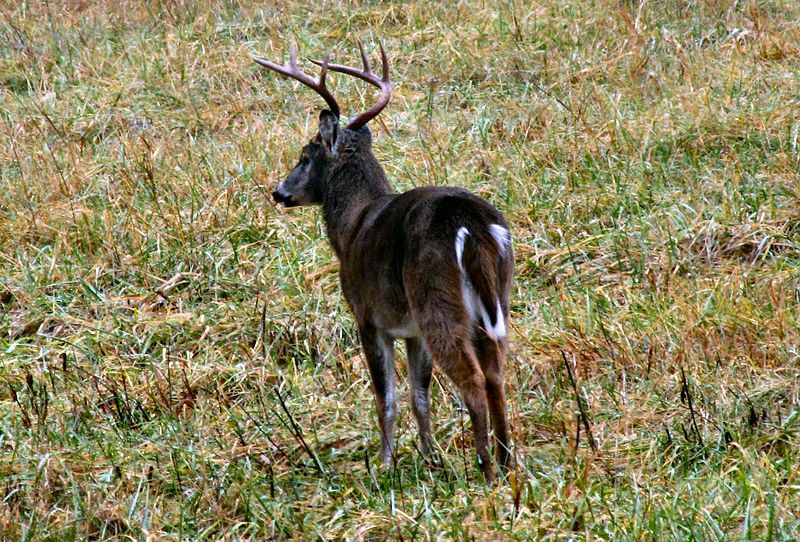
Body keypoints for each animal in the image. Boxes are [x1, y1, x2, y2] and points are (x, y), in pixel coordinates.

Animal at [256, 41, 520, 484]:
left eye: (305, 155)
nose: (279, 192)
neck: (350, 228)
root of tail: (472, 226)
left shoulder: (367, 314)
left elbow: (387, 396)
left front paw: (384, 464)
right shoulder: (409, 329)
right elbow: (419, 395)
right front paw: (430, 458)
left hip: (436, 298)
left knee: (473, 377)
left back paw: (485, 467)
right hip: (497, 296)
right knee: (497, 373)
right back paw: (505, 461)